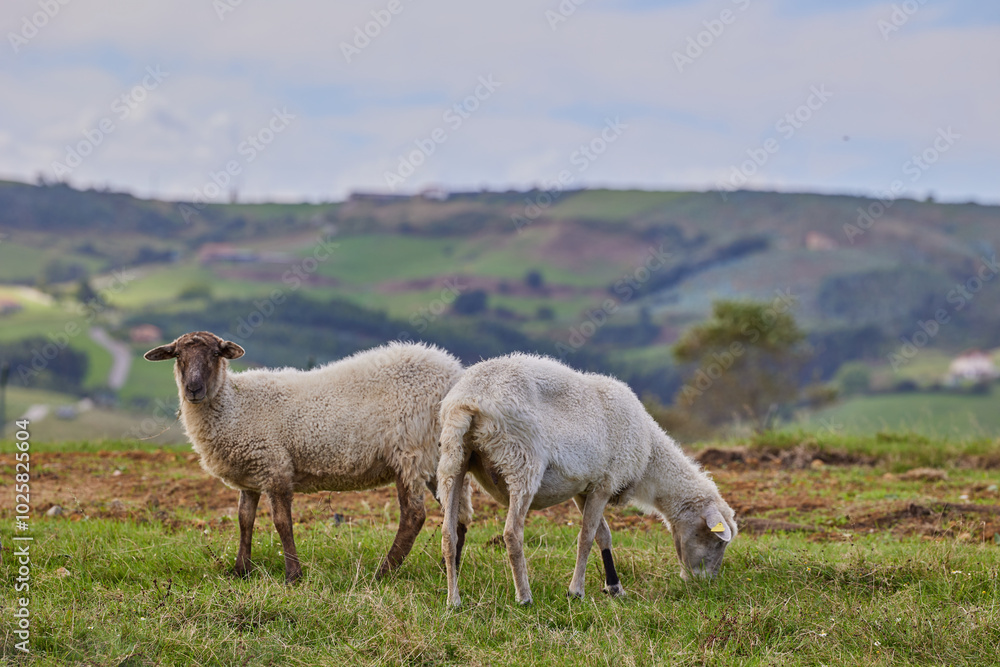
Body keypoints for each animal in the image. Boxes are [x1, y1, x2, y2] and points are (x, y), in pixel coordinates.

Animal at [144, 331, 473, 583]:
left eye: (215, 353)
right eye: (177, 355)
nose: (193, 389)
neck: (234, 404)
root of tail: (454, 372)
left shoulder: (275, 466)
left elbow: (282, 522)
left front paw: (293, 575)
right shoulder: (250, 475)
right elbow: (244, 520)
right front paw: (240, 571)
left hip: (411, 452)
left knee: (414, 515)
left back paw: (383, 573)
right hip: (440, 456)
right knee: (457, 512)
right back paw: (449, 569)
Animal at [437, 352, 737, 607]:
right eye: (717, 541)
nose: (705, 584)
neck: (650, 456)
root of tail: (468, 401)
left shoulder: (586, 488)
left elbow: (604, 535)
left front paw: (614, 587)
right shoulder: (605, 483)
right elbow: (587, 537)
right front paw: (576, 592)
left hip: (454, 458)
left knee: (449, 533)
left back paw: (453, 601)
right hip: (521, 461)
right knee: (512, 533)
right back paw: (524, 597)